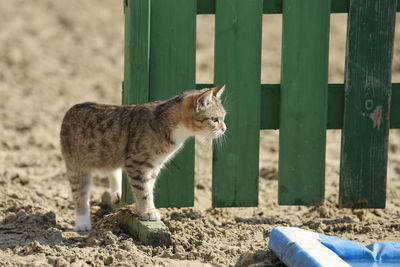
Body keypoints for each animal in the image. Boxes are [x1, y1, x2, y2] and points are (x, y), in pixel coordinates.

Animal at [60, 86, 227, 232]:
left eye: (223, 118)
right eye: (215, 119)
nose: (225, 129)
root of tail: (73, 108)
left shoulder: (154, 165)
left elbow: (148, 187)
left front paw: (144, 209)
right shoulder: (136, 163)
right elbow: (142, 190)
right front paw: (148, 211)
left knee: (112, 169)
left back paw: (116, 192)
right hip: (76, 164)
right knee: (80, 194)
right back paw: (82, 223)